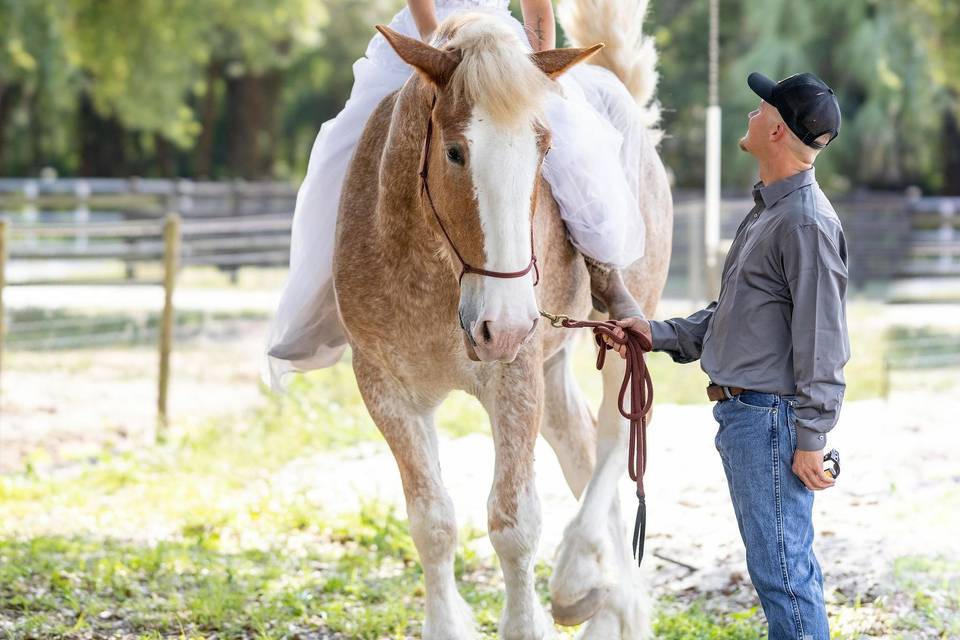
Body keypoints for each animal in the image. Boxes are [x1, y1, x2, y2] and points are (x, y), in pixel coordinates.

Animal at [334, 0, 672, 636]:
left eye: (544, 150)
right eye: (454, 152)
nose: (507, 325)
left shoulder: (514, 379)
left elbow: (514, 525)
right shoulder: (385, 388)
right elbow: (432, 521)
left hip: (619, 334)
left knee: (614, 441)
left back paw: (578, 575)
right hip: (552, 366)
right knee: (580, 447)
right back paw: (609, 601)